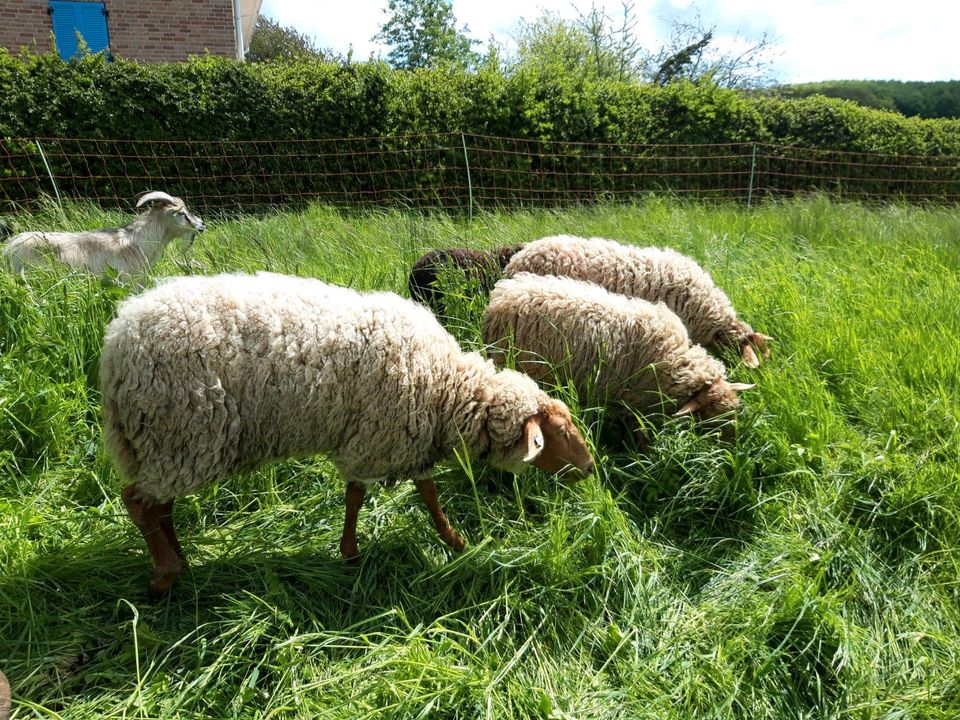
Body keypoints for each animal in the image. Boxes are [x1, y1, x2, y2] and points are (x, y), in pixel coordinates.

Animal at [99, 272, 592, 592]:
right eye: (559, 432)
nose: (590, 468)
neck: (444, 386)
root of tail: (117, 343)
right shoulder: (380, 435)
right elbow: (374, 494)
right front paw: (357, 552)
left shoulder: (397, 437)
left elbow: (411, 492)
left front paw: (449, 540)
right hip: (184, 432)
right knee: (138, 502)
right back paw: (166, 573)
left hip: (167, 443)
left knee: (159, 504)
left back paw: (180, 558)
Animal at [484, 274, 752, 430]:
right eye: (711, 416)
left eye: (735, 412)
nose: (732, 451)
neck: (674, 359)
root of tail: (503, 294)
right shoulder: (629, 400)